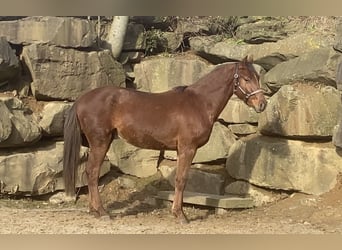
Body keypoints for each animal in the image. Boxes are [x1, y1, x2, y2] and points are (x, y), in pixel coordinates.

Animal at [63, 55, 268, 224]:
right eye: (247, 79)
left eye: (257, 77)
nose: (262, 104)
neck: (199, 103)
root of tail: (82, 100)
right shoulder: (187, 148)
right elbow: (181, 179)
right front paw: (180, 215)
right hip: (100, 142)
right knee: (92, 172)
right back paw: (102, 212)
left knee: (90, 173)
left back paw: (94, 211)